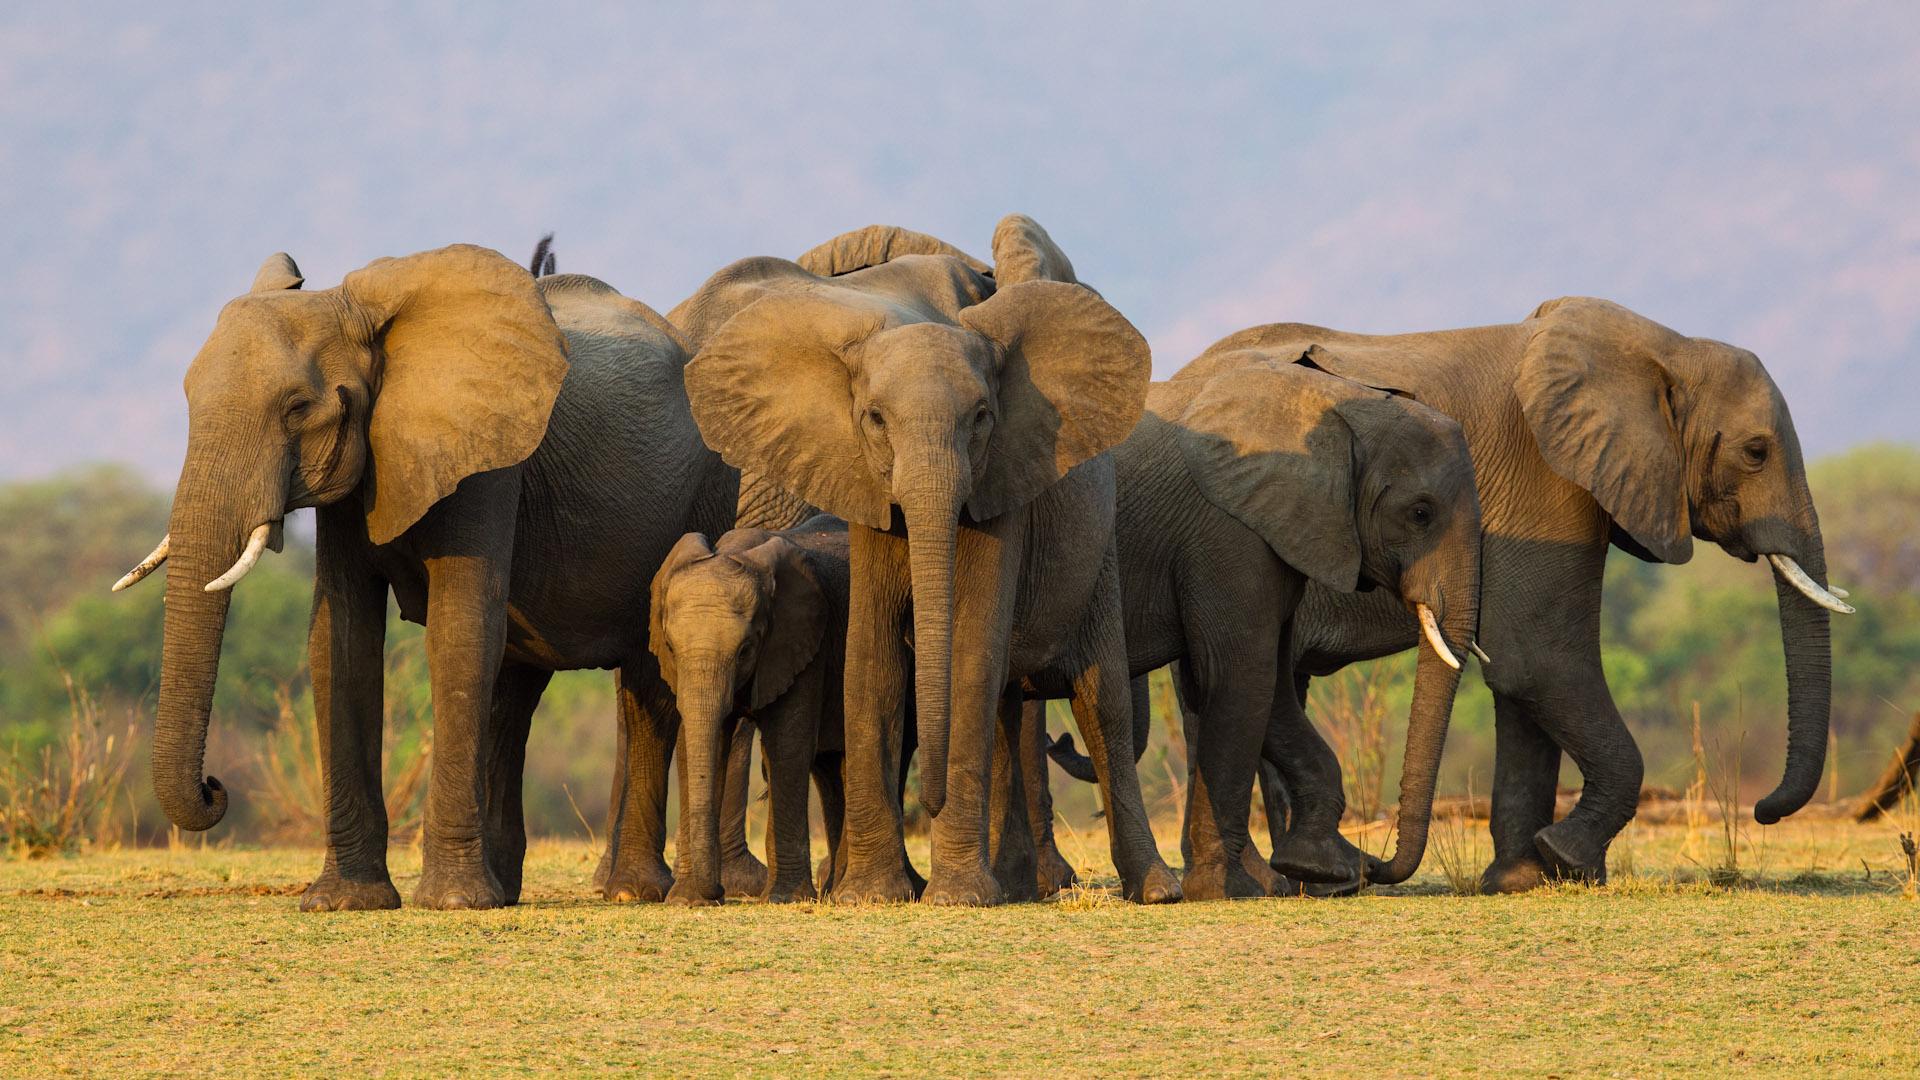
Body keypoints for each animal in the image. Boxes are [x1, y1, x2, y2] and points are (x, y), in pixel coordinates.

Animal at [110, 245, 756, 907]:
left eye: (297, 408)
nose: (215, 787)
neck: (359, 312)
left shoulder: (487, 459)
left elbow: (460, 631)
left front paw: (452, 903)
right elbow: (340, 638)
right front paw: (347, 901)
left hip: (709, 488)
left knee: (646, 682)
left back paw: (628, 891)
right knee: (515, 692)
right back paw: (508, 887)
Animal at [648, 511, 852, 899]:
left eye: (746, 649)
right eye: (669, 646)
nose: (718, 892)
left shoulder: (803, 643)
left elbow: (787, 743)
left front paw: (785, 899)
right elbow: (695, 743)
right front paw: (686, 899)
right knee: (832, 767)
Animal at [675, 216, 1182, 899]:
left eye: (982, 417)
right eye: (874, 418)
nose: (931, 802)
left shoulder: (1005, 477)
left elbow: (972, 643)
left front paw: (957, 897)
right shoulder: (857, 475)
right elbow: (871, 648)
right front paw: (872, 895)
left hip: (1095, 545)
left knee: (1100, 702)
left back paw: (1148, 889)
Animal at [1205, 297, 1850, 887]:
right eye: (1756, 452)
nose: (1764, 808)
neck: (1662, 348)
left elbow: (1520, 680)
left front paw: (1522, 878)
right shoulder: (1545, 479)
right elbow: (1537, 662)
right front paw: (1566, 858)